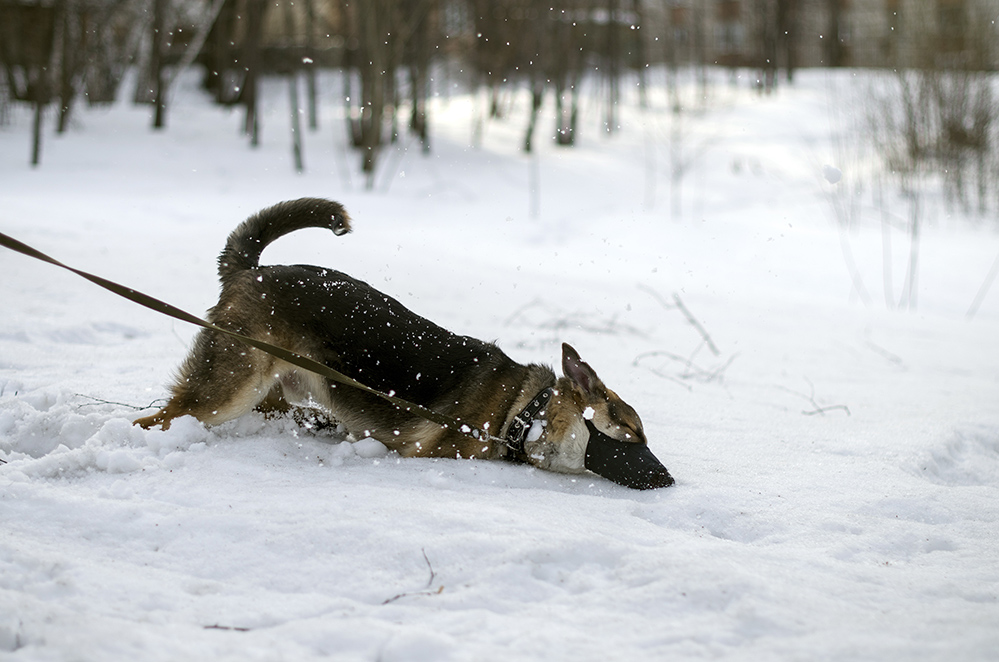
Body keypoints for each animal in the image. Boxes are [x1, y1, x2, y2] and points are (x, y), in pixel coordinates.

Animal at [135, 200, 672, 490]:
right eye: (633, 433)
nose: (668, 480)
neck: (524, 412)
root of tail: (252, 270)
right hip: (228, 390)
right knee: (158, 420)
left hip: (272, 396)